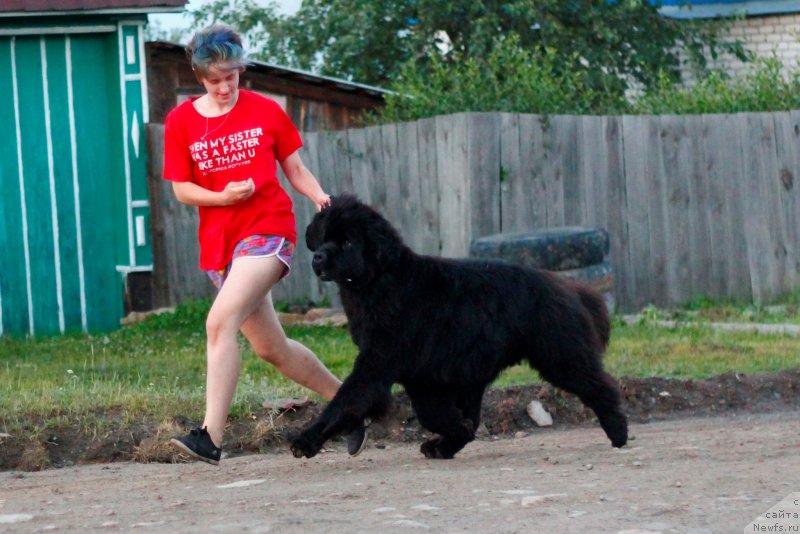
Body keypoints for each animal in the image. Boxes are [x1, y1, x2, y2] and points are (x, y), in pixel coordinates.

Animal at [290, 196, 628, 460]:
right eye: (323, 237)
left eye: (347, 242)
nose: (318, 257)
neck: (381, 284)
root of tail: (567, 287)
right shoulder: (419, 375)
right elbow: (434, 414)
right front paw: (453, 434)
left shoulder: (378, 364)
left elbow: (344, 401)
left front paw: (305, 440)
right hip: (476, 375)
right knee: (475, 415)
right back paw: (445, 447)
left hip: (561, 357)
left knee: (602, 387)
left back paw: (619, 433)